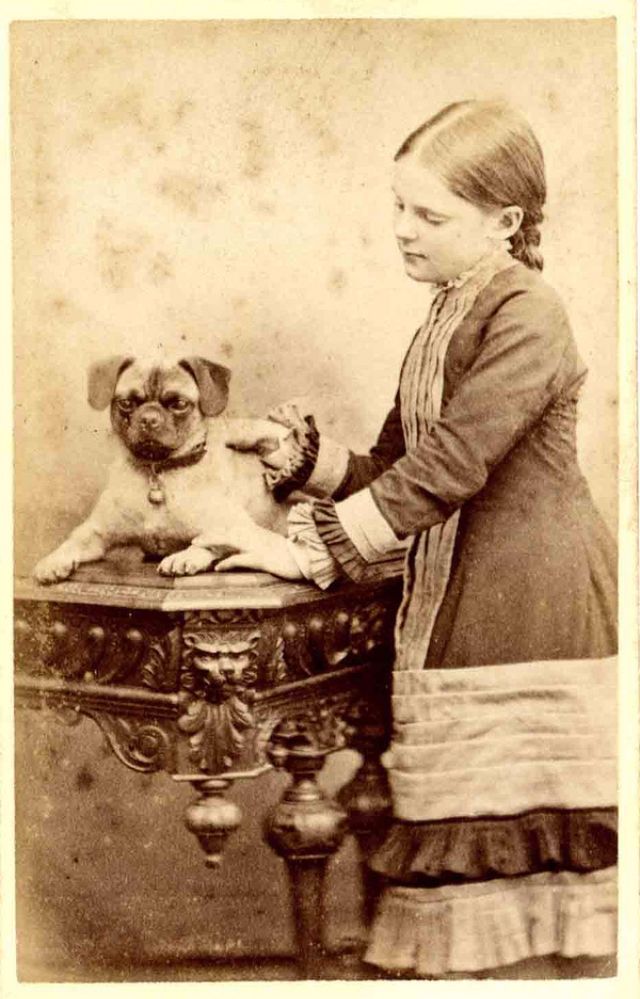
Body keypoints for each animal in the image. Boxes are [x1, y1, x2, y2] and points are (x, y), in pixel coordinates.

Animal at [33, 355, 293, 584]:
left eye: (179, 404)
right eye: (126, 403)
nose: (149, 419)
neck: (158, 470)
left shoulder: (235, 526)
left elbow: (209, 541)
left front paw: (185, 556)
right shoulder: (96, 531)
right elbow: (72, 542)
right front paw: (53, 561)